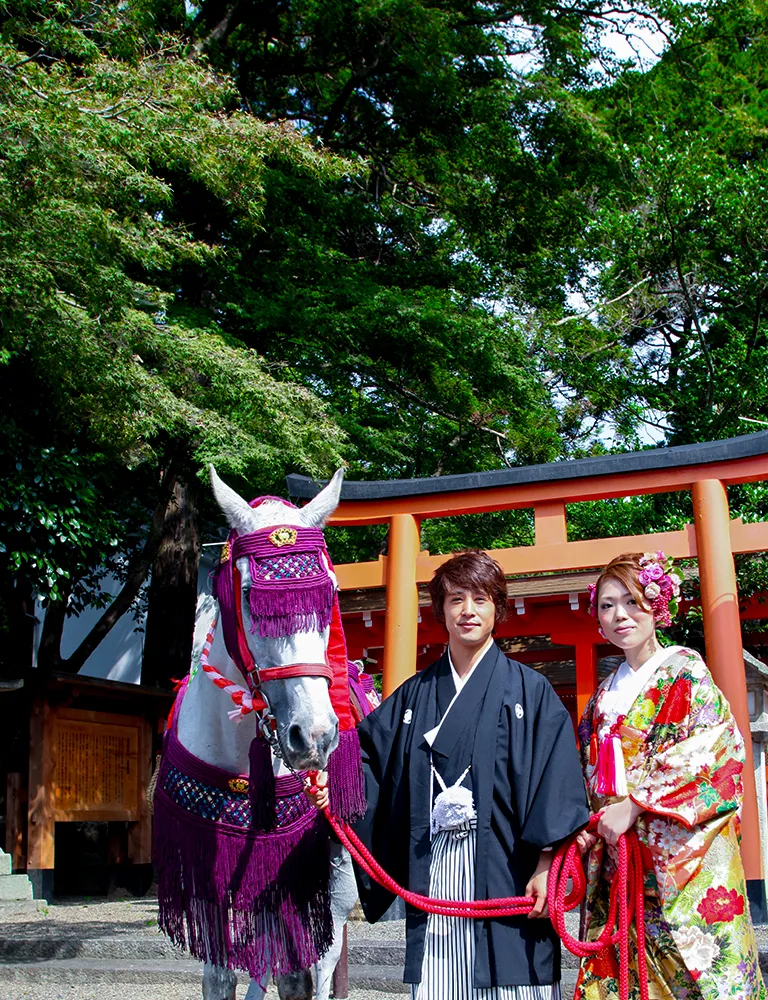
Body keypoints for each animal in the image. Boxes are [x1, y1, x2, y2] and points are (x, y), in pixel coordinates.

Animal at [163, 472, 360, 1000]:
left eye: (330, 595)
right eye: (251, 596)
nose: (314, 736)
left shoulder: (292, 870)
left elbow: (297, 972)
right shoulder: (205, 873)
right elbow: (221, 974)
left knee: (324, 956)